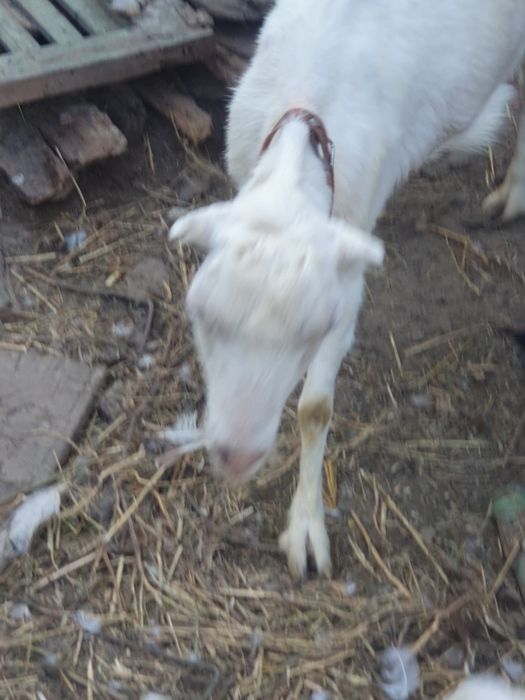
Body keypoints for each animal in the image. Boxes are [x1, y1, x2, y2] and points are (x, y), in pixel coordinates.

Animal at [170, 0, 525, 579]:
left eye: (316, 329)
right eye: (201, 315)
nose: (237, 456)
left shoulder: (350, 260)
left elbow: (315, 408)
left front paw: (306, 528)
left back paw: (513, 192)